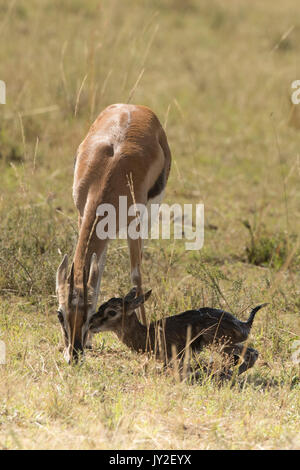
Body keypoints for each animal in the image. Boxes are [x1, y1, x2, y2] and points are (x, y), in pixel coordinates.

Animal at [89, 288, 268, 376]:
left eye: (112, 312)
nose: (90, 323)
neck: (147, 334)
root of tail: (244, 324)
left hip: (219, 343)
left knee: (251, 354)